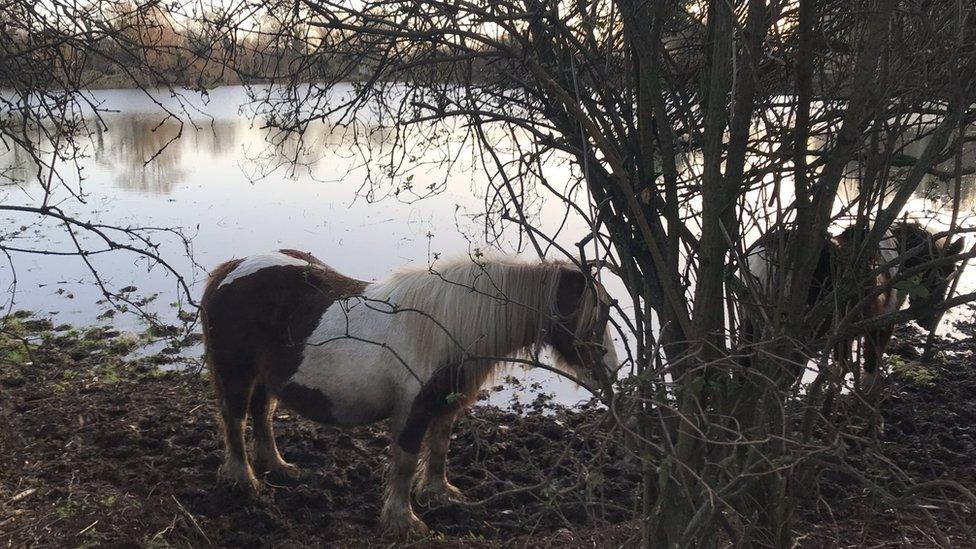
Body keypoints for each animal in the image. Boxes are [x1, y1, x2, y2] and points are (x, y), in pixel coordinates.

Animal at [196, 252, 616, 536]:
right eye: (594, 317)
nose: (611, 370)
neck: (448, 327)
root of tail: (226, 271)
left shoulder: (444, 405)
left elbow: (440, 448)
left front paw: (440, 493)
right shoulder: (412, 411)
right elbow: (405, 462)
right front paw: (404, 521)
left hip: (266, 378)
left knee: (262, 414)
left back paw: (279, 467)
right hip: (236, 372)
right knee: (235, 420)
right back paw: (245, 480)